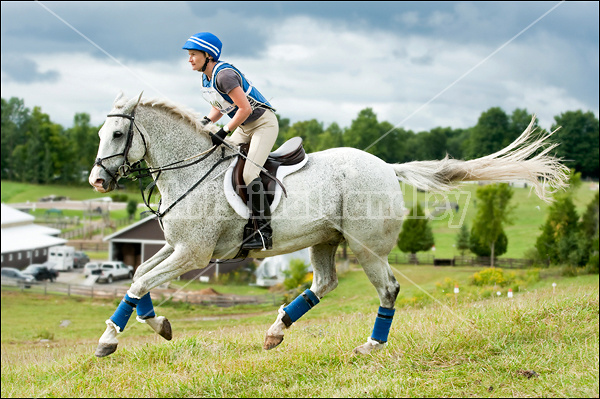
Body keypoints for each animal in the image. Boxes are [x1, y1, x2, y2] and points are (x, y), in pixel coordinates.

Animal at [88, 92, 568, 358]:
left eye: (117, 135)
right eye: (99, 134)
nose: (97, 181)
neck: (190, 171)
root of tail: (388, 168)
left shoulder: (194, 253)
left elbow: (137, 283)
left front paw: (109, 341)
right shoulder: (177, 247)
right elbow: (140, 276)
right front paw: (158, 324)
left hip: (367, 247)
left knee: (387, 289)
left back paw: (371, 346)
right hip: (323, 239)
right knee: (325, 283)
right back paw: (276, 332)